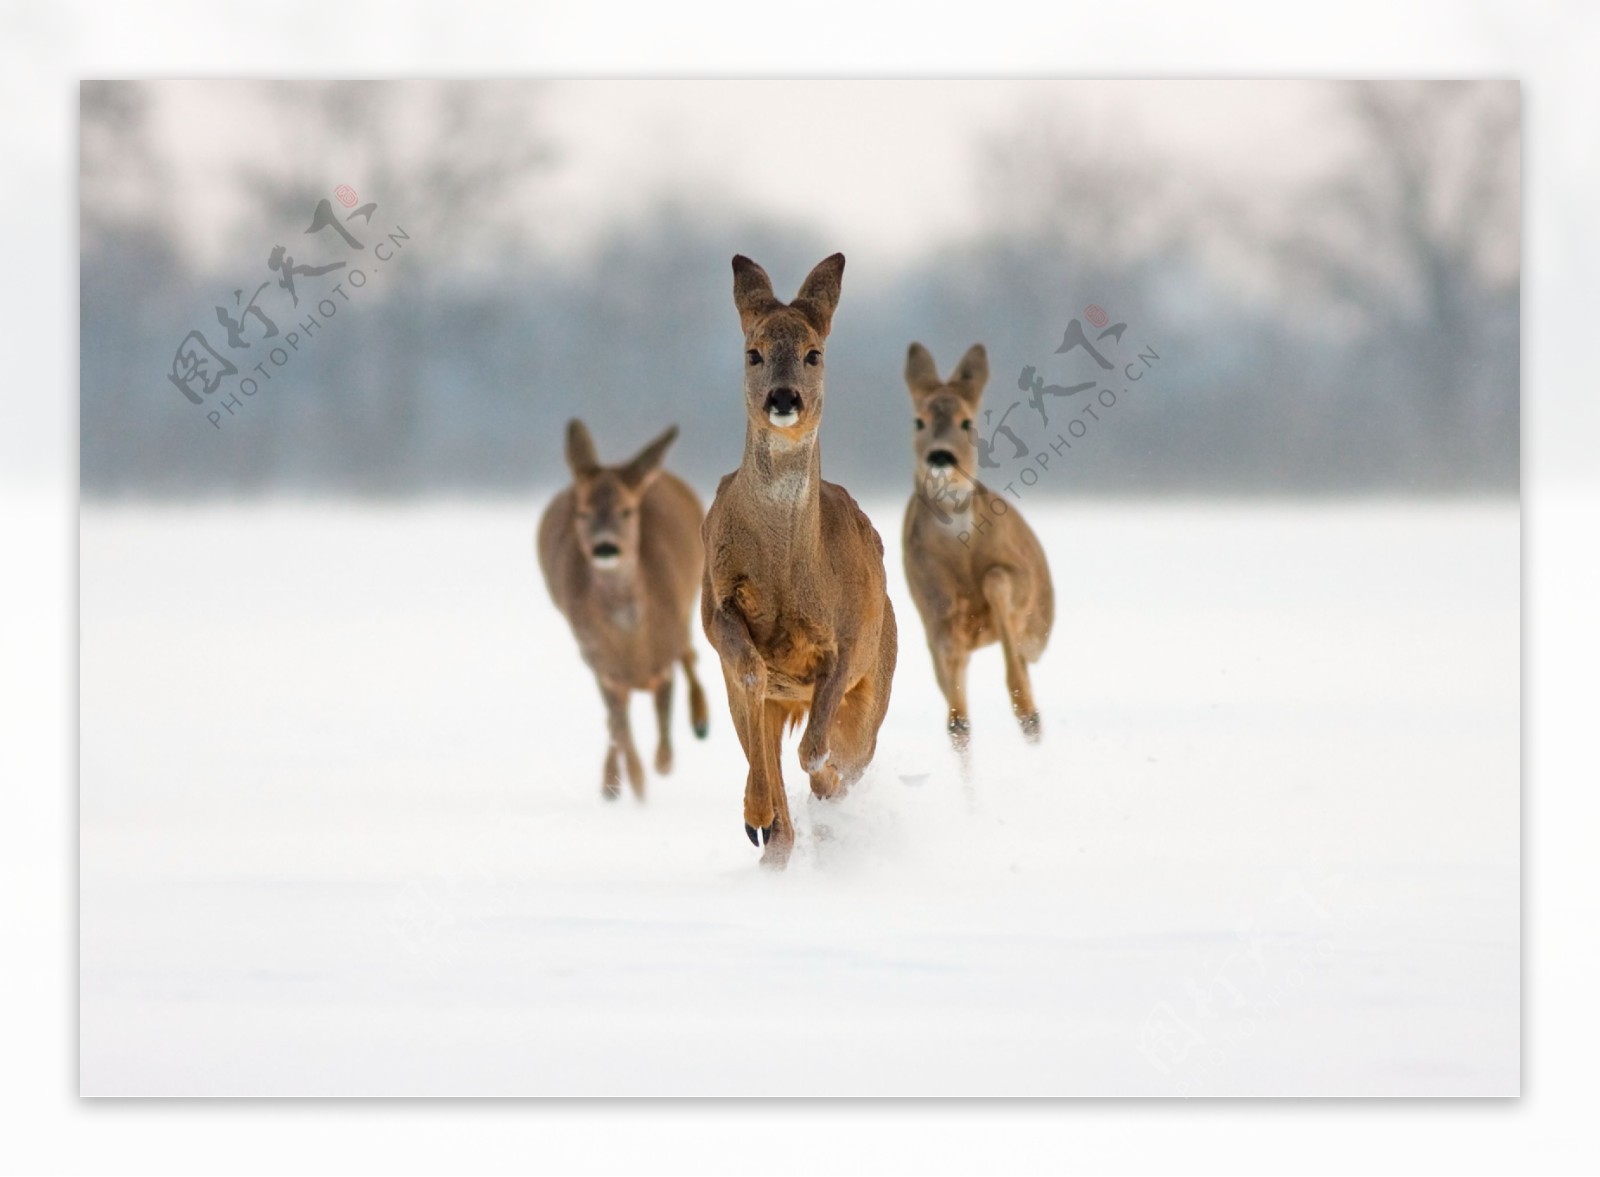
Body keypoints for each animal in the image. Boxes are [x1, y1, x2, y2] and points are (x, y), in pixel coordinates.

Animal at [537, 418, 707, 796]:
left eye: (627, 511)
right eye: (583, 513)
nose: (605, 547)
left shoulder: (664, 656)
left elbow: (663, 734)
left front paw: (661, 764)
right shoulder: (601, 665)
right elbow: (625, 738)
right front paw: (632, 786)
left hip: (692, 598)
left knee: (691, 653)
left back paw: (702, 721)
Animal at [700, 255, 902, 863]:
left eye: (815, 353)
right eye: (753, 352)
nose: (784, 398)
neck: (789, 572)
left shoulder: (849, 639)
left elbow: (816, 752)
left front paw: (824, 796)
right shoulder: (716, 606)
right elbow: (749, 672)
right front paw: (758, 816)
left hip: (878, 679)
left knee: (846, 754)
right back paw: (769, 830)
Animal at [908, 345, 1056, 758]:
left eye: (966, 422)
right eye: (919, 421)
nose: (941, 457)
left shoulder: (1020, 578)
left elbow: (996, 578)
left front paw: (1027, 710)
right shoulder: (932, 609)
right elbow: (957, 716)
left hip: (1039, 628)